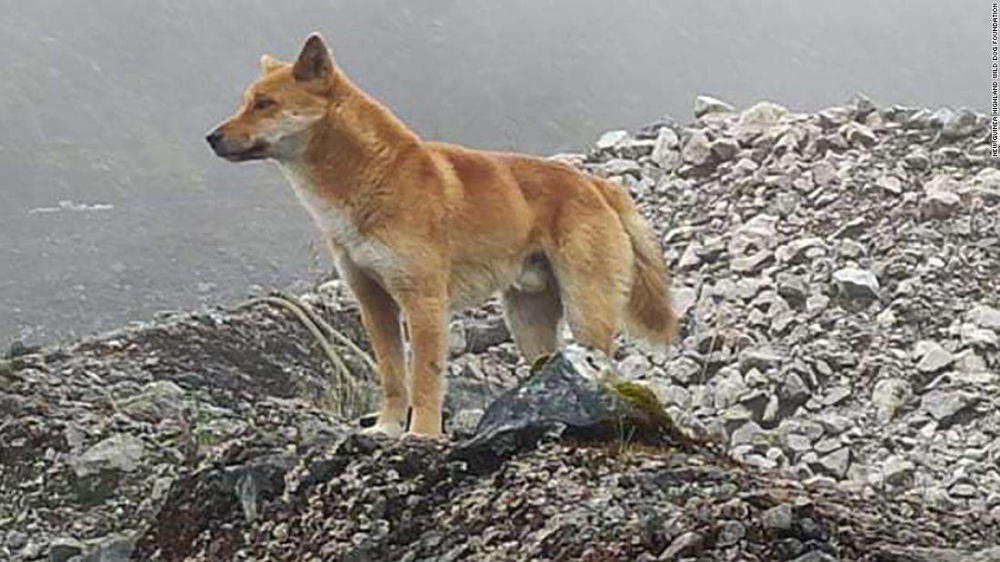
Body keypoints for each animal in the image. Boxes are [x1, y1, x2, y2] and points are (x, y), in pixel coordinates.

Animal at [206, 32, 676, 438]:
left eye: (265, 103)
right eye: (245, 102)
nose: (211, 137)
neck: (372, 180)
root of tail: (597, 185)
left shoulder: (424, 301)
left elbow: (425, 380)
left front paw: (422, 435)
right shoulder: (374, 302)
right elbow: (394, 378)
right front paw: (387, 429)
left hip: (585, 309)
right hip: (528, 322)